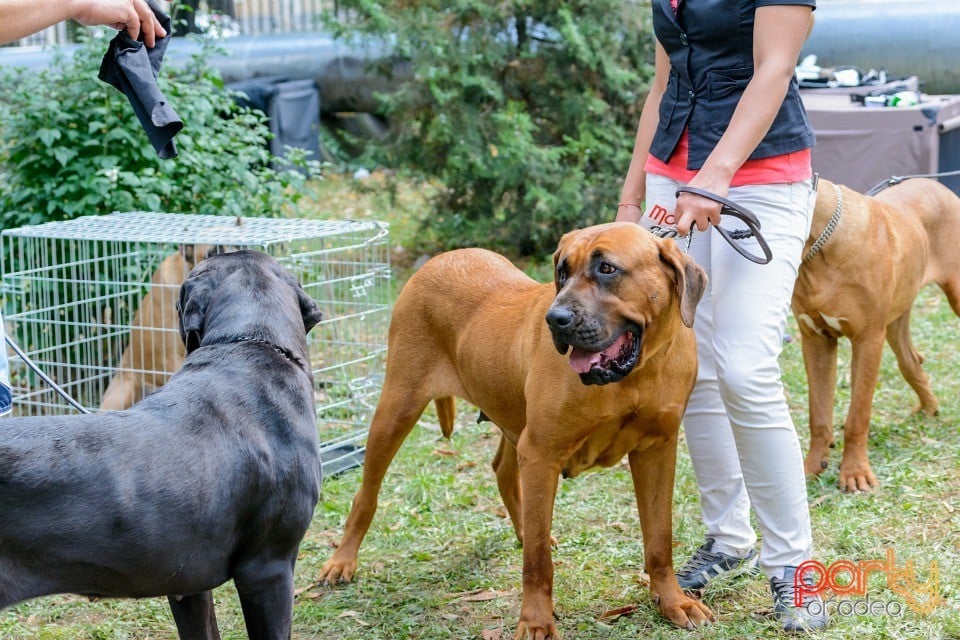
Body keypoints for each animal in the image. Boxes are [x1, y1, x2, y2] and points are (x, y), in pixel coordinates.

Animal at [320, 224, 712, 636]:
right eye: (561, 271)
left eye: (607, 268)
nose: (555, 319)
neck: (636, 375)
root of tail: (438, 260)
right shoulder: (542, 453)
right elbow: (537, 562)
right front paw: (536, 621)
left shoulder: (657, 450)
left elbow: (660, 539)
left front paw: (673, 601)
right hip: (397, 409)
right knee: (367, 494)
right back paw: (341, 560)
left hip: (513, 418)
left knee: (503, 471)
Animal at [792, 178, 960, 492]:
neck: (821, 247)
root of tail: (938, 184)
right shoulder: (816, 340)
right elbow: (818, 414)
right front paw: (811, 467)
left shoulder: (868, 340)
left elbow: (858, 415)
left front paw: (855, 473)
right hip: (896, 318)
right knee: (911, 363)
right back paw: (929, 410)